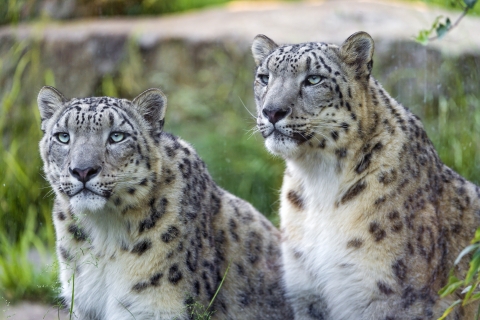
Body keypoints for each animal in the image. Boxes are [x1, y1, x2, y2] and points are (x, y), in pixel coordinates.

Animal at [251, 31, 480, 318]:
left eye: (314, 79)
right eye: (264, 77)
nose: (272, 111)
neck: (318, 181)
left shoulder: (393, 297)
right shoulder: (307, 292)